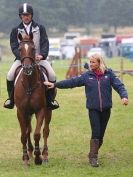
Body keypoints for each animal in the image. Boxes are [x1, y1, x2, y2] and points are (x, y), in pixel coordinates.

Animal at [14, 32, 51, 166]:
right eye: (20, 49)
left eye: (33, 49)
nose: (28, 68)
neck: (29, 84)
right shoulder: (21, 112)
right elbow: (24, 135)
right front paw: (25, 158)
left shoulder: (40, 110)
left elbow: (37, 134)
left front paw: (38, 157)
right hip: (28, 113)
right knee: (28, 130)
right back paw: (29, 153)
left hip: (48, 110)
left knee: (45, 131)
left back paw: (44, 155)